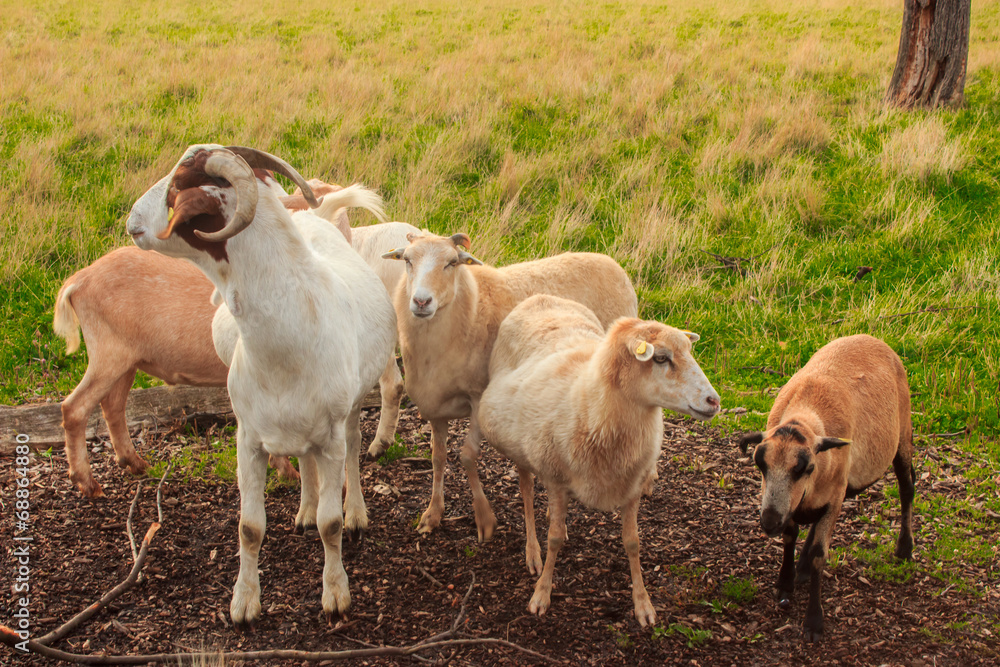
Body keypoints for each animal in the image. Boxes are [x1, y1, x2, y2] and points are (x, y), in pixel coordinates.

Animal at [126, 144, 396, 624]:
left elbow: (330, 526)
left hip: (349, 411)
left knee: (352, 449)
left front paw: (335, 594)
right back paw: (306, 507)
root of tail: (318, 216)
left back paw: (355, 513)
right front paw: (244, 603)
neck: (285, 340)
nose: (132, 221)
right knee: (305, 461)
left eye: (176, 189)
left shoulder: (329, 434)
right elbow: (249, 528)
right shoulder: (248, 437)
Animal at [382, 232, 638, 541]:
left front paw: (484, 518)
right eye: (407, 260)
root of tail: (612, 263)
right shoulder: (435, 404)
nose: (421, 302)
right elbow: (437, 457)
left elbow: (468, 456)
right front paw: (433, 514)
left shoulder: (479, 397)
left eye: (452, 262)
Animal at [478, 294, 721, 626]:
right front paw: (541, 594)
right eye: (660, 358)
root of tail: (541, 297)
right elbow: (554, 538)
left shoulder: (633, 483)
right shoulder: (555, 478)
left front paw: (643, 604)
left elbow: (633, 542)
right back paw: (532, 552)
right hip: (521, 448)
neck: (591, 403)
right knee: (526, 492)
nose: (714, 401)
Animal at [737, 333, 915, 641]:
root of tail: (872, 338)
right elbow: (790, 536)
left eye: (805, 468)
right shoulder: (796, 504)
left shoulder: (828, 496)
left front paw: (813, 622)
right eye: (760, 465)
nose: (769, 522)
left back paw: (904, 548)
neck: (805, 415)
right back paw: (802, 567)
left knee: (907, 487)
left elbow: (821, 556)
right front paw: (786, 582)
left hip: (902, 435)